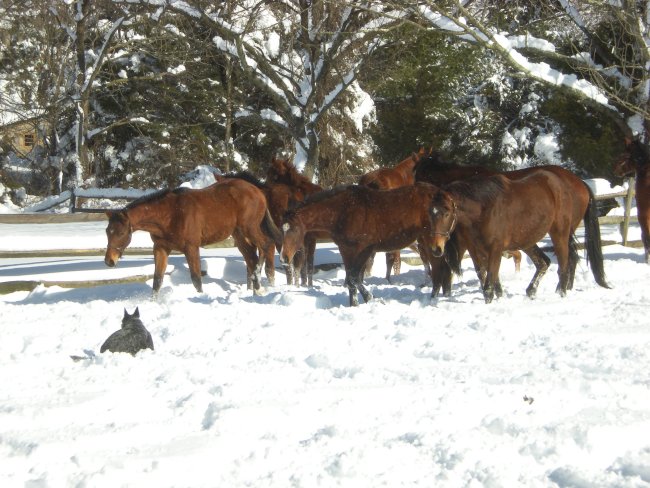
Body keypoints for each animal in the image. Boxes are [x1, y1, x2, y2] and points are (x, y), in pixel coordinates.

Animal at [104, 178, 280, 294]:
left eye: (121, 233)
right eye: (107, 231)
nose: (109, 261)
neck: (170, 214)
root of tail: (258, 191)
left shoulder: (191, 248)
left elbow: (196, 280)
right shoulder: (161, 248)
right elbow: (157, 280)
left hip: (250, 228)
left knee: (267, 245)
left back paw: (264, 283)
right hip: (239, 235)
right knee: (252, 258)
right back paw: (257, 290)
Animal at [264, 156, 326, 286]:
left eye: (275, 176)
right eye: (268, 173)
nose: (266, 188)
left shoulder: (309, 239)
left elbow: (306, 265)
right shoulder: (309, 239)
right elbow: (306, 265)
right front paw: (306, 285)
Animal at [276, 183, 458, 304]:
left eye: (293, 230)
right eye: (281, 229)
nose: (284, 258)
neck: (343, 211)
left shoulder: (364, 249)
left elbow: (354, 278)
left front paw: (368, 299)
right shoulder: (346, 249)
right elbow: (352, 279)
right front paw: (356, 303)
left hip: (430, 243)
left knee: (438, 269)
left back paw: (433, 298)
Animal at [426, 170, 608, 304]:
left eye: (446, 212)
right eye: (430, 213)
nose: (436, 248)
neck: (484, 209)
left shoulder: (495, 249)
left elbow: (489, 286)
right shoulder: (478, 249)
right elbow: (490, 279)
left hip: (559, 234)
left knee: (564, 264)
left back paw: (561, 293)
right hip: (527, 239)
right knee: (544, 262)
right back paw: (532, 291)